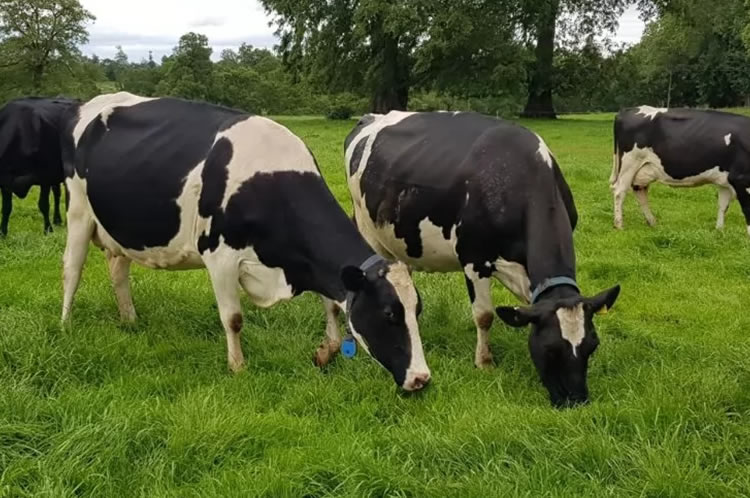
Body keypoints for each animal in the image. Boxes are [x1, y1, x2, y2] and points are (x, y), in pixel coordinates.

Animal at [0, 99, 77, 237]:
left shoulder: (44, 177)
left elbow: (43, 204)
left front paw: (48, 229)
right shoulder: (5, 180)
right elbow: (6, 208)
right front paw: (3, 232)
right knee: (57, 194)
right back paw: (57, 219)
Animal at [60, 91, 428, 392]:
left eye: (417, 310)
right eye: (389, 314)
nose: (421, 378)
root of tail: (97, 102)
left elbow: (333, 305)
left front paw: (326, 352)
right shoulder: (220, 256)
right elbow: (233, 318)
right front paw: (238, 368)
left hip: (117, 228)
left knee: (118, 270)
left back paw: (129, 320)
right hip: (78, 211)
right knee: (71, 270)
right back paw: (66, 325)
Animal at [346, 111, 624, 406]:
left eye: (592, 345)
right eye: (550, 349)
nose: (576, 400)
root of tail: (373, 116)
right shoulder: (473, 259)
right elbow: (484, 315)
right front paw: (485, 362)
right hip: (366, 227)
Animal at [612, 105, 750, 233]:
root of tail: (628, 110)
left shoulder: (725, 180)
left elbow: (723, 205)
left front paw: (719, 231)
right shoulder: (740, 178)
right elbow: (746, 210)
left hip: (643, 169)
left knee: (640, 191)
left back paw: (652, 222)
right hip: (629, 163)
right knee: (619, 192)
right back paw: (619, 225)